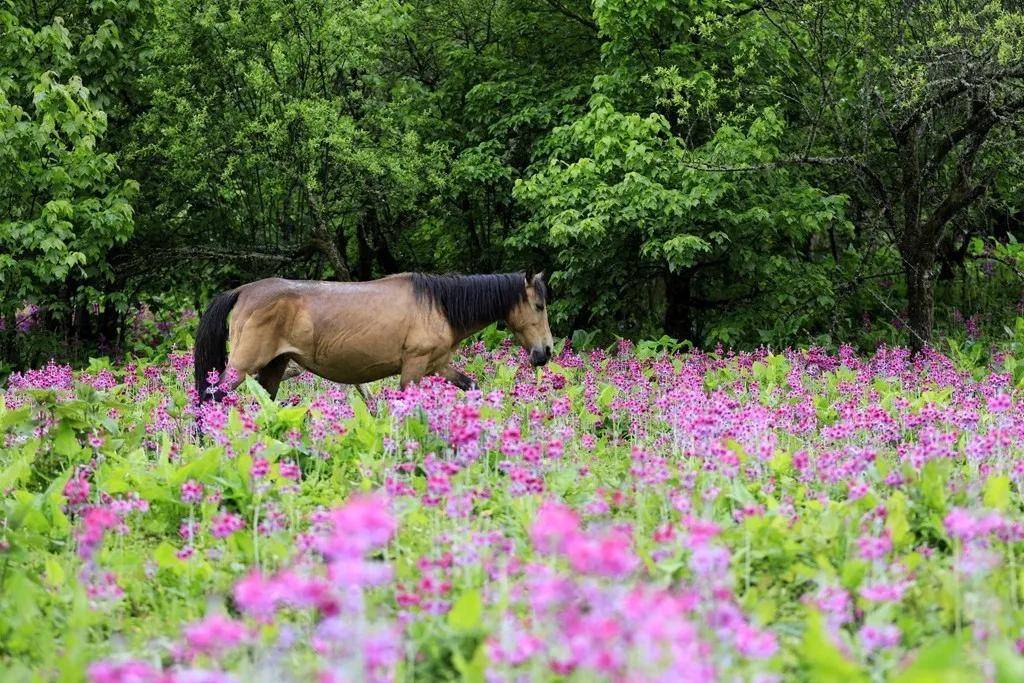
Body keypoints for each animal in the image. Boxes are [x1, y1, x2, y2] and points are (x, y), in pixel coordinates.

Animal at [195, 270, 557, 403]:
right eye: (539, 306)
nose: (545, 353)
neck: (437, 305)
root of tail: (243, 291)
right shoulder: (414, 367)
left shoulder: (437, 365)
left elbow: (471, 386)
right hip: (242, 366)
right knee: (209, 398)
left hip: (275, 366)